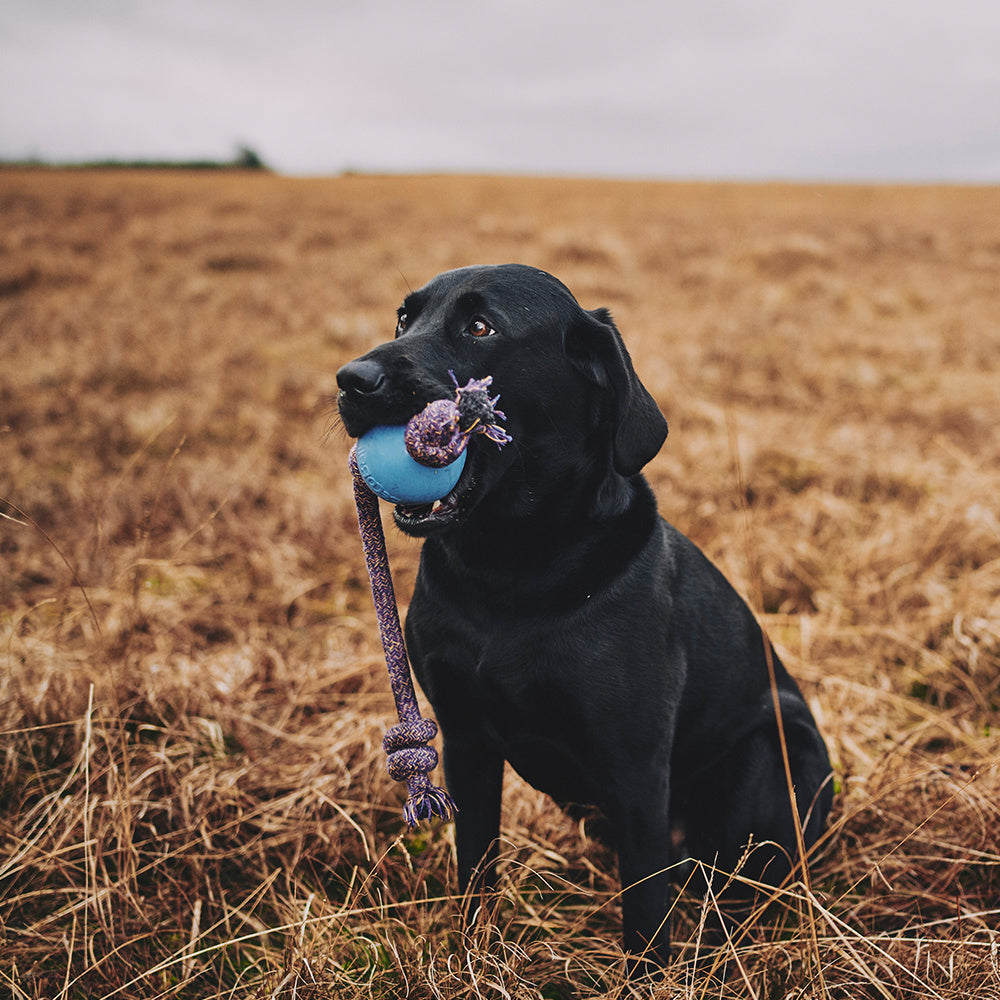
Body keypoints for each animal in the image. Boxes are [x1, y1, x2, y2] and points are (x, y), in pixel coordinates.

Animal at [340, 266, 832, 968]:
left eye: (480, 327)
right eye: (404, 319)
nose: (350, 380)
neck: (507, 572)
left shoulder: (636, 767)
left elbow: (646, 913)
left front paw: (649, 977)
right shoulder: (465, 741)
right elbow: (475, 869)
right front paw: (471, 959)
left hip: (771, 755)